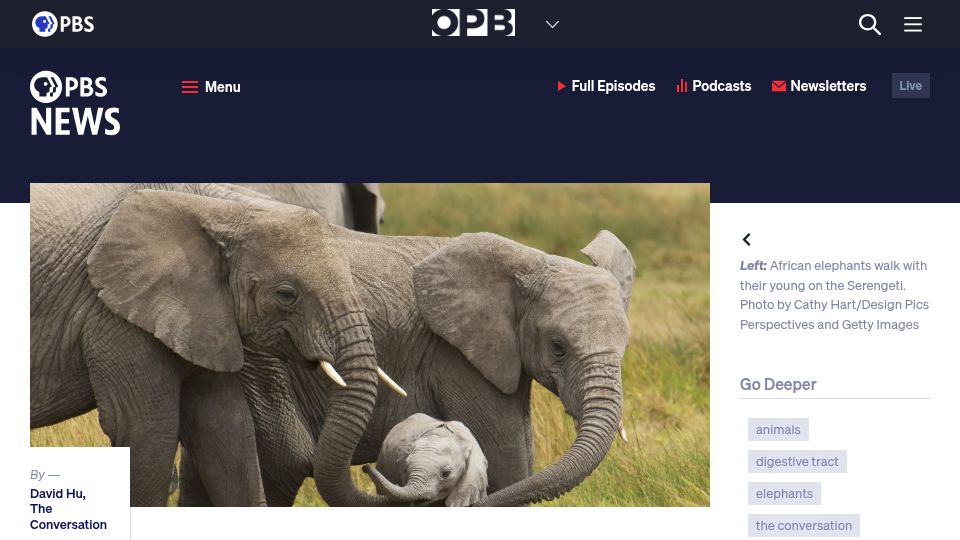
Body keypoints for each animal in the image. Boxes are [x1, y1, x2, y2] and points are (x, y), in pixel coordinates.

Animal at [30, 183, 387, 506]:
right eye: (286, 295)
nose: (369, 469)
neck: (220, 208)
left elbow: (226, 428)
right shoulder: (114, 312)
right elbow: (144, 431)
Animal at [180, 225, 635, 506]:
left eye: (625, 346)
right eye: (558, 347)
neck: (527, 259)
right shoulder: (453, 355)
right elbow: (511, 458)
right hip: (260, 367)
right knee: (279, 466)